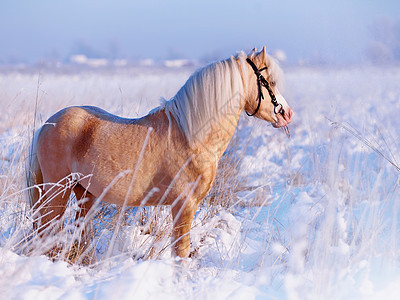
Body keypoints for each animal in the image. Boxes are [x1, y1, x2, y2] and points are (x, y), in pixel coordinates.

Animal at [25, 45, 294, 258]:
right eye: (270, 82)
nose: (287, 114)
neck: (191, 135)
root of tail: (47, 124)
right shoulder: (183, 205)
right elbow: (181, 253)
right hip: (56, 192)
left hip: (85, 195)